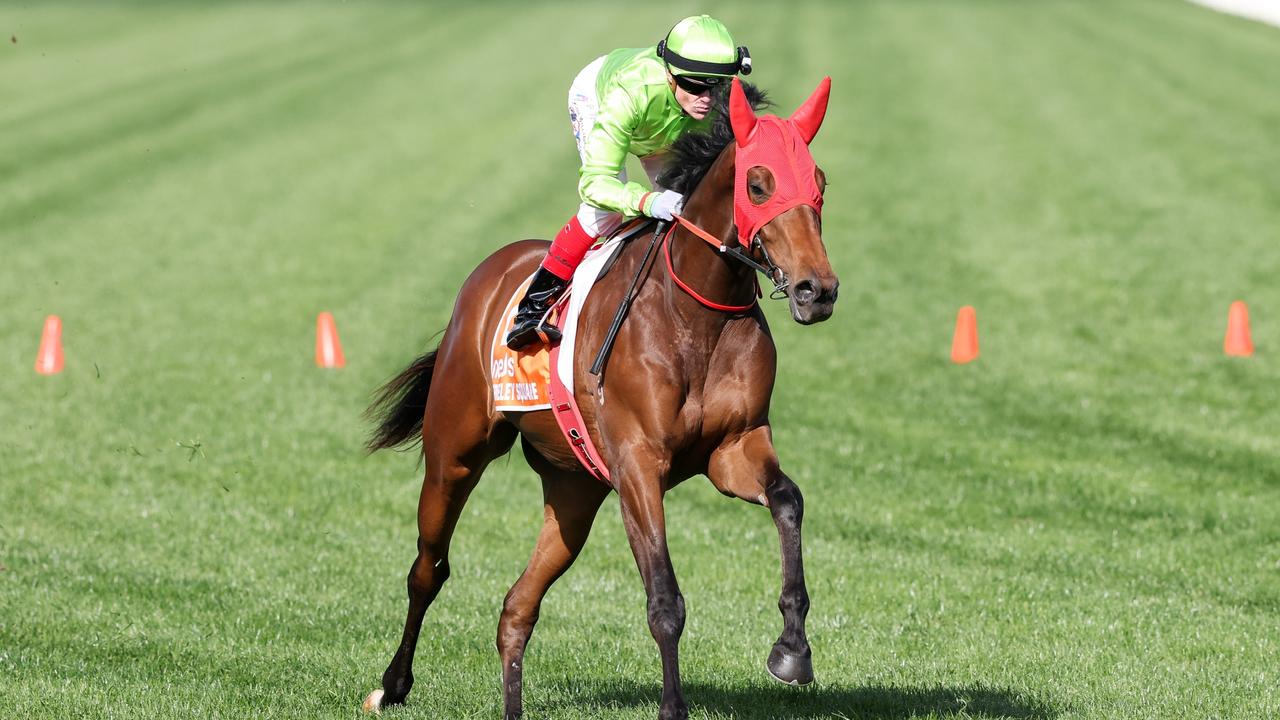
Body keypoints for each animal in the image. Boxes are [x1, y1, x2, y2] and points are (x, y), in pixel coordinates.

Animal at [360, 78, 839, 717]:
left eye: (820, 184)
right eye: (758, 184)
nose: (818, 290)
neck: (696, 316)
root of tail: (488, 275)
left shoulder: (734, 448)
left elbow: (789, 500)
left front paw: (792, 649)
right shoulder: (638, 463)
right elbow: (665, 600)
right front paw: (673, 707)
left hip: (575, 489)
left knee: (517, 607)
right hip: (454, 454)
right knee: (427, 569)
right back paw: (392, 684)